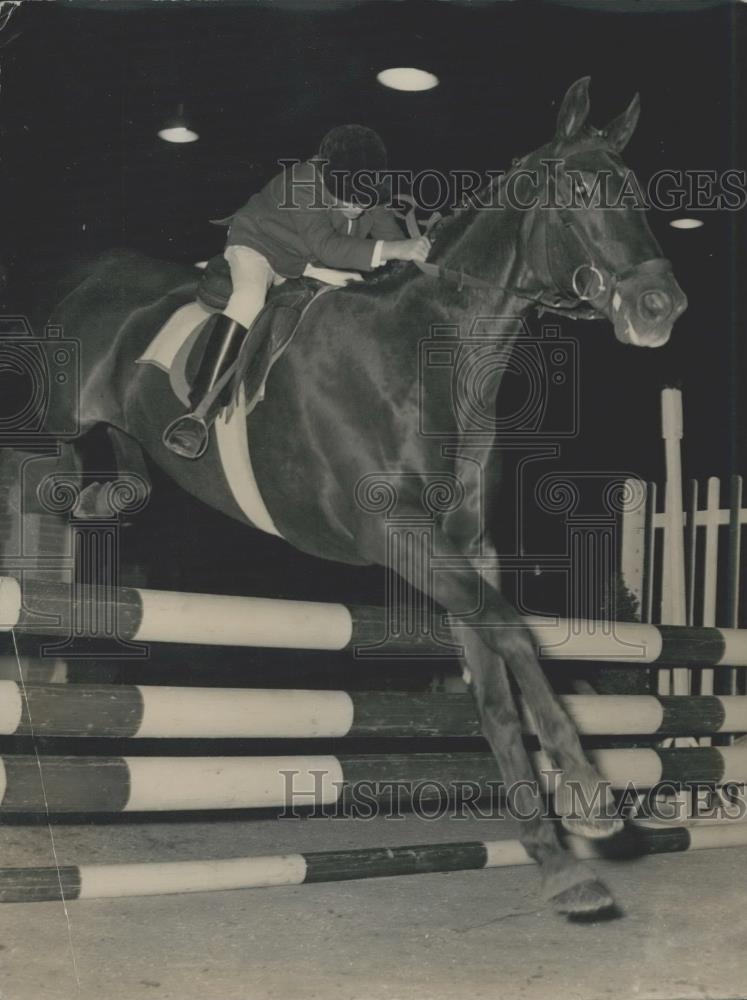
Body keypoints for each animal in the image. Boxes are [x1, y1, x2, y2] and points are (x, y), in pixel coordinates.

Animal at [1, 82, 688, 916]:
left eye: (641, 195)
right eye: (582, 192)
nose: (660, 307)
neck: (434, 353)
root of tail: (93, 267)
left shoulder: (463, 547)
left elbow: (494, 686)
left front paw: (561, 867)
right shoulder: (390, 530)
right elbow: (513, 632)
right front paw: (588, 793)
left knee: (126, 459)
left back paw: (109, 492)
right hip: (54, 406)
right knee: (42, 444)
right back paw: (75, 481)